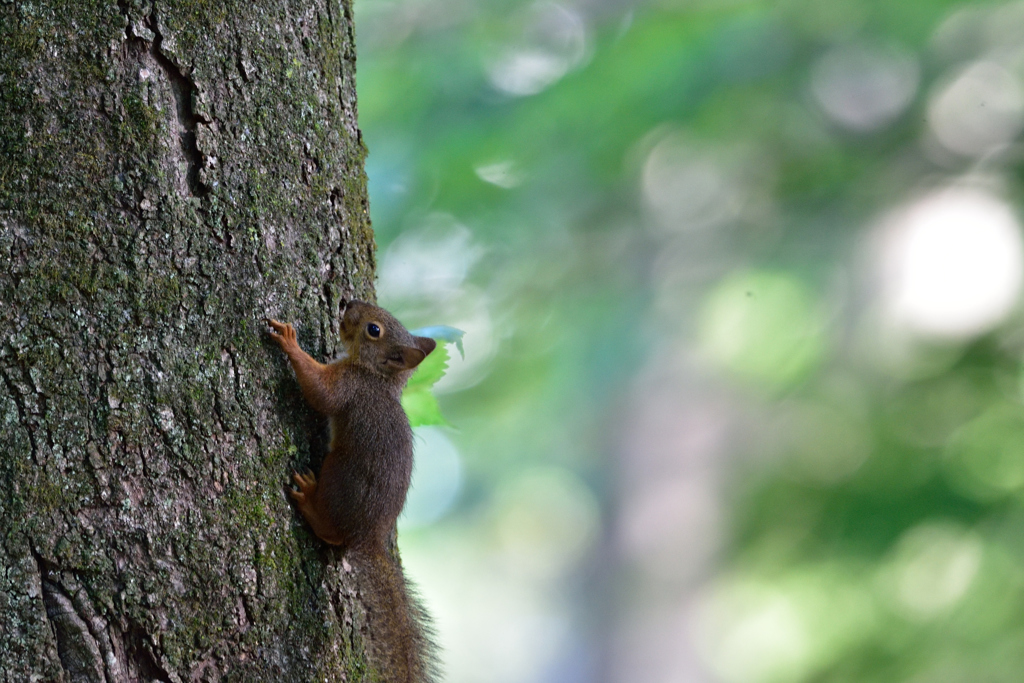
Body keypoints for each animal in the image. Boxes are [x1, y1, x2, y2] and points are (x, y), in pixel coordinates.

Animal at [266, 301, 438, 679]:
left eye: (374, 330)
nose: (347, 303)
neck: (376, 377)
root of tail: (368, 535)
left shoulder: (348, 386)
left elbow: (320, 393)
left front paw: (290, 344)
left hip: (338, 474)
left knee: (330, 531)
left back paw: (309, 500)